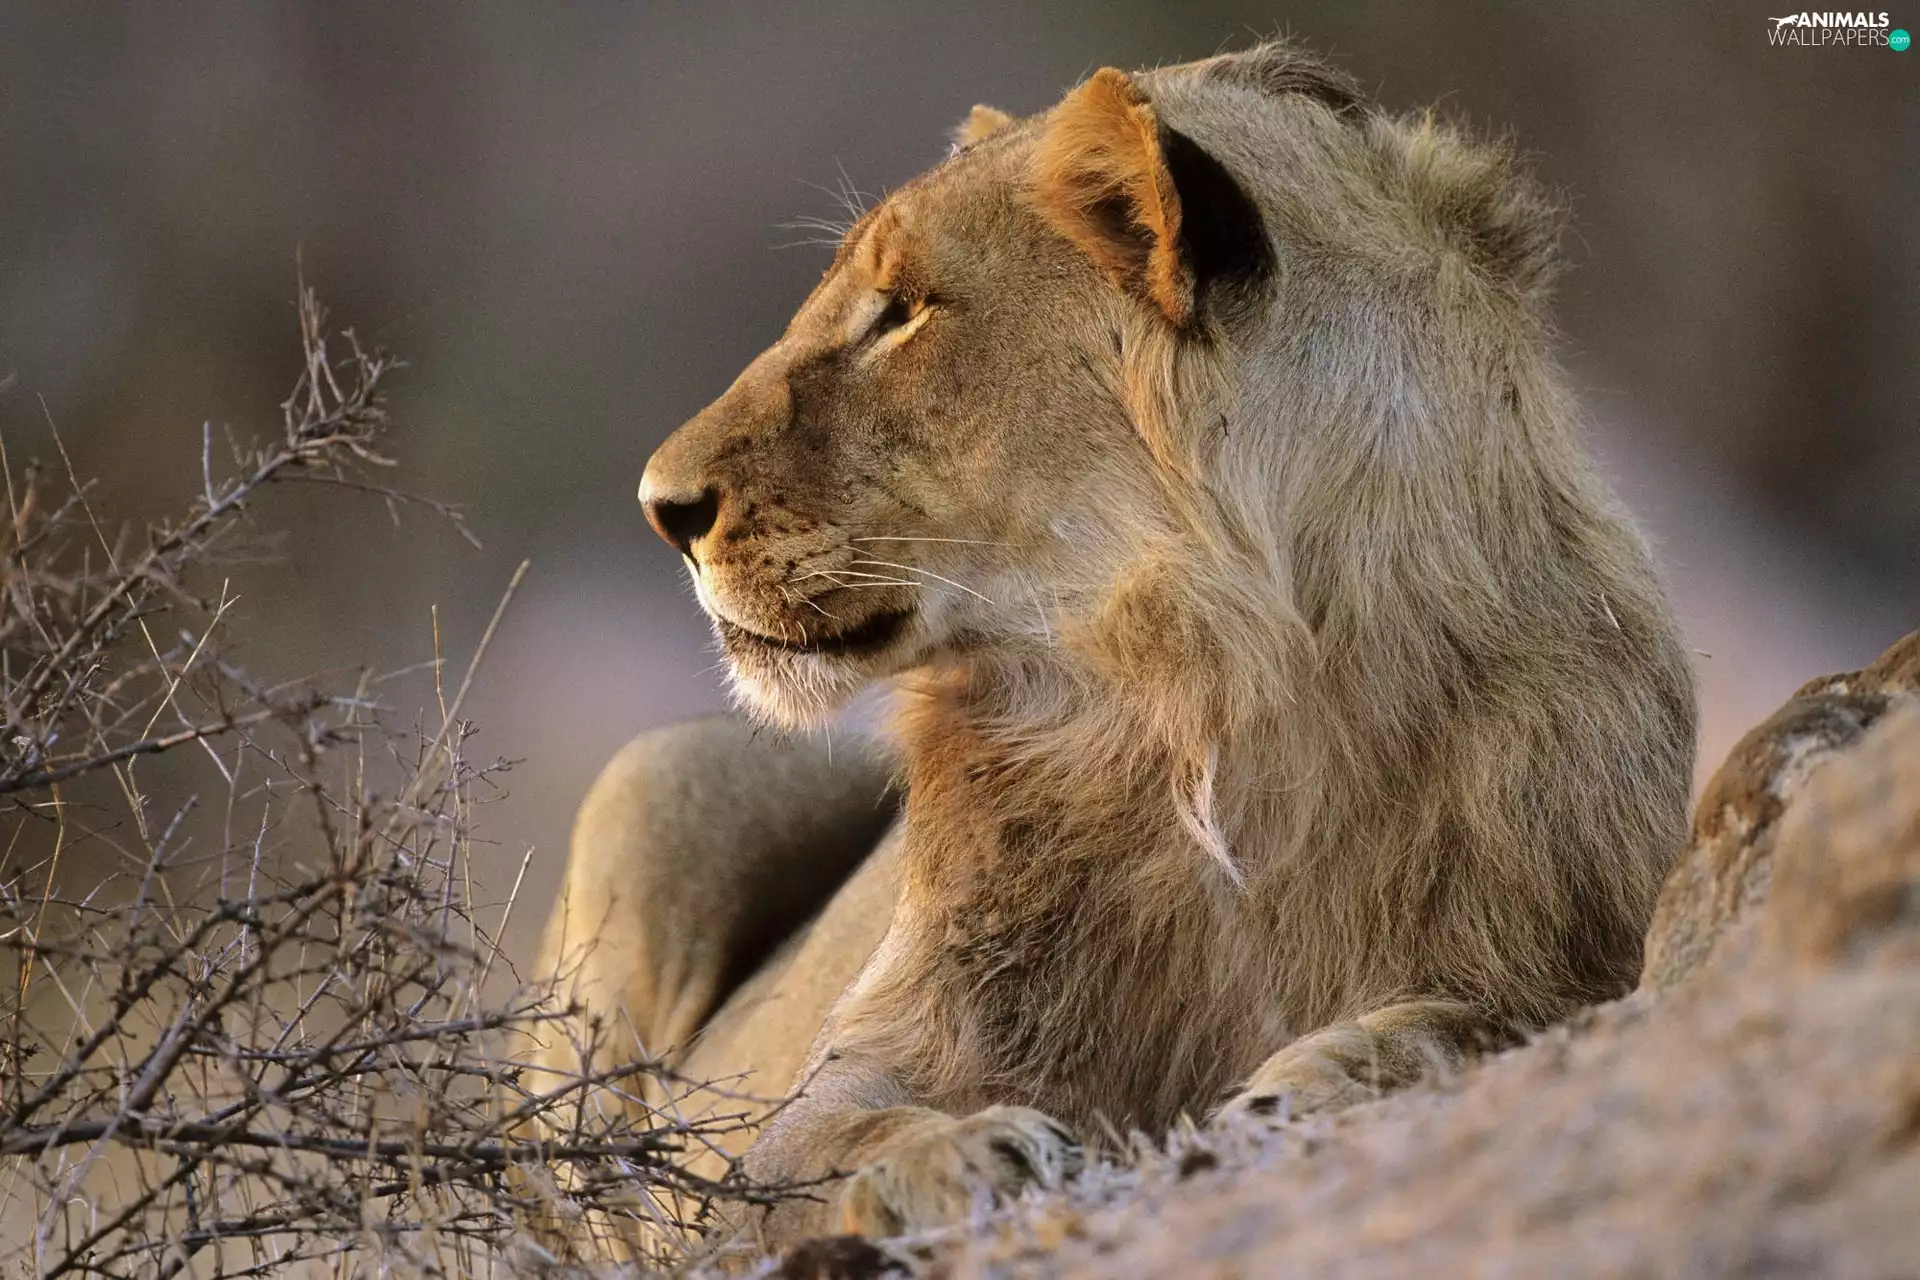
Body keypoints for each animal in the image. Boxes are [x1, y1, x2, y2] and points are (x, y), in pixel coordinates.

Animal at [535, 40, 1697, 1251]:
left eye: (902, 313)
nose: (660, 507)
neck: (1210, 699)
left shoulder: (1584, 945)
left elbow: (1484, 1017)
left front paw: (1318, 1076)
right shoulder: (835, 1087)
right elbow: (819, 1146)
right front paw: (959, 1154)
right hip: (658, 776)